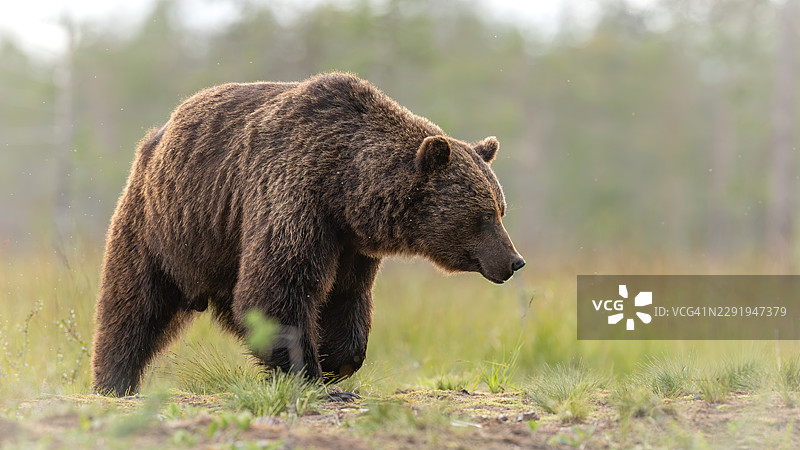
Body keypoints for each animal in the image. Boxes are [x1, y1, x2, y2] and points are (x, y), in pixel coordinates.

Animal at [91, 72, 525, 400]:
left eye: (501, 209)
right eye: (485, 214)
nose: (514, 260)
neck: (344, 186)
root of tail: (157, 135)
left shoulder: (351, 243)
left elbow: (344, 297)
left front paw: (335, 360)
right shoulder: (294, 199)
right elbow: (278, 289)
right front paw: (312, 377)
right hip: (163, 223)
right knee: (134, 303)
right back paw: (114, 381)